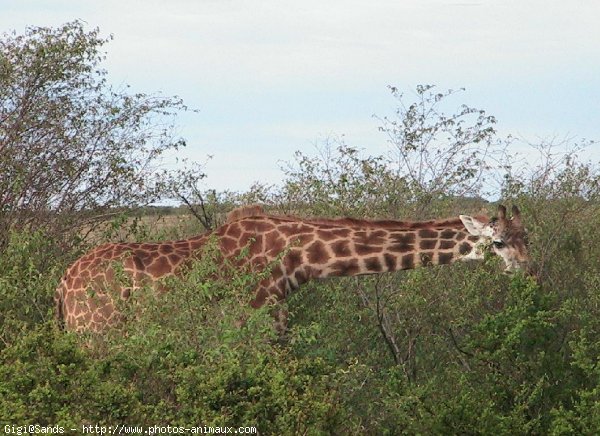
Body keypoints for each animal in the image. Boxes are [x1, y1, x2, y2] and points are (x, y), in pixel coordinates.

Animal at [54, 204, 528, 330]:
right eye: (499, 242)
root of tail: (61, 285)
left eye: (530, 238)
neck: (298, 260)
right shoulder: (261, 319)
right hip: (95, 334)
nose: (527, 274)